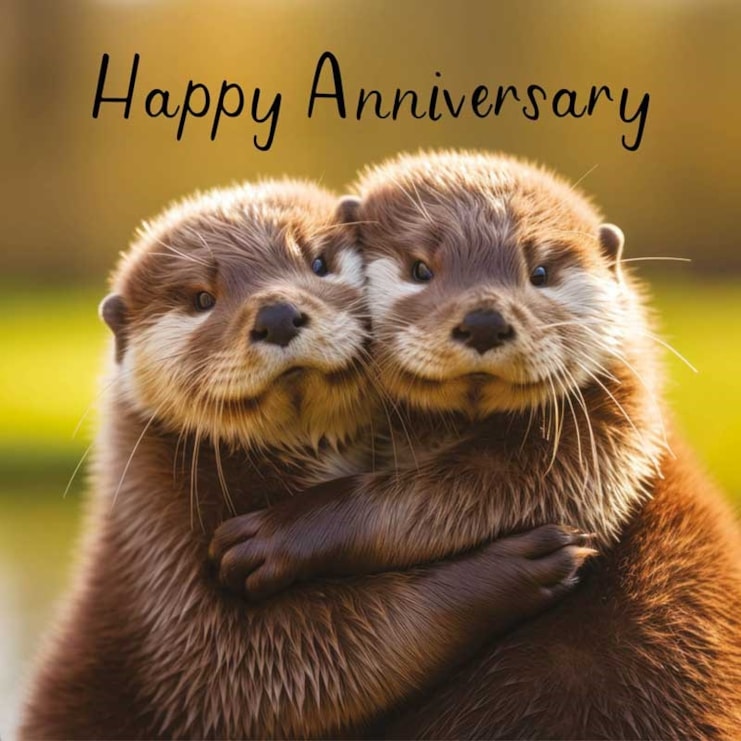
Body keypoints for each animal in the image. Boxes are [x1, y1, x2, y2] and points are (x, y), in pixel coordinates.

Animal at [20, 178, 590, 739]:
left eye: (318, 262)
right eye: (202, 298)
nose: (276, 314)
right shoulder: (166, 567)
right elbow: (271, 672)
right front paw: (516, 567)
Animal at [212, 153, 741, 738]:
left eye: (539, 272)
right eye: (421, 269)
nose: (485, 320)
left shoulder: (606, 433)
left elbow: (470, 494)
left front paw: (277, 536)